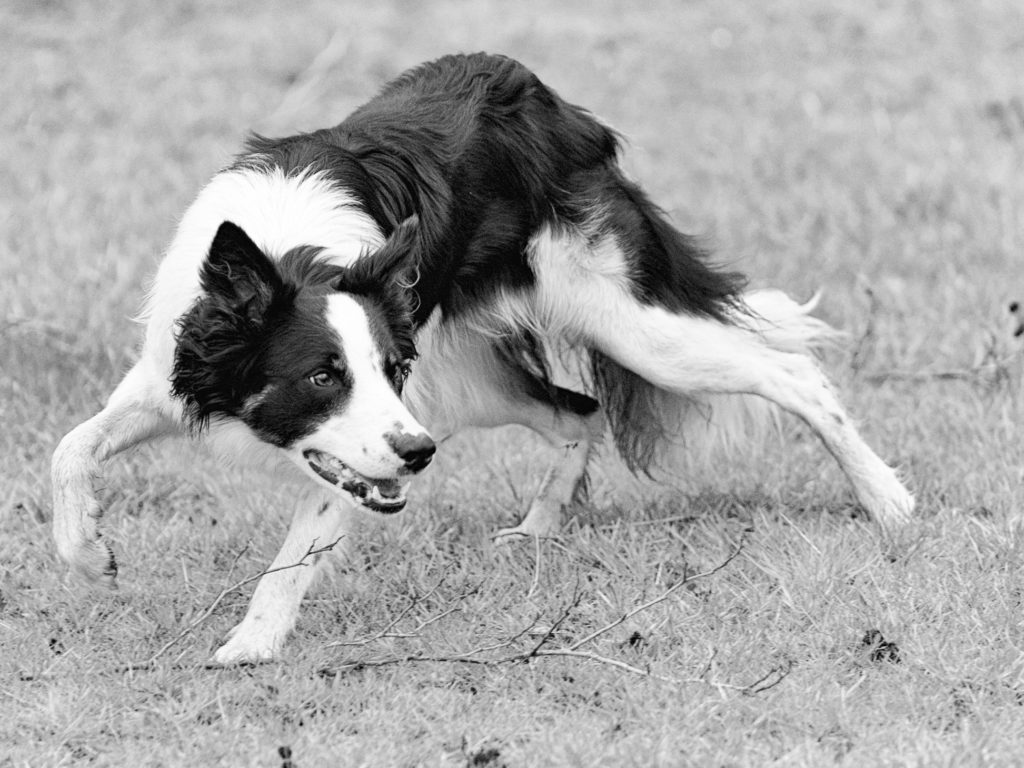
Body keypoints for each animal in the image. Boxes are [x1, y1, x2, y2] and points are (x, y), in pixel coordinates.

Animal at [51, 53, 914, 663]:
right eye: (323, 376)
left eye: (387, 371)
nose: (419, 455)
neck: (292, 254)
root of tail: (556, 107)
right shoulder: (174, 372)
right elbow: (69, 448)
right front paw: (89, 554)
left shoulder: (383, 433)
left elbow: (296, 552)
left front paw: (249, 645)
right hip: (468, 382)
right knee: (581, 413)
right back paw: (535, 532)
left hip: (623, 329)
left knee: (790, 371)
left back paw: (888, 502)